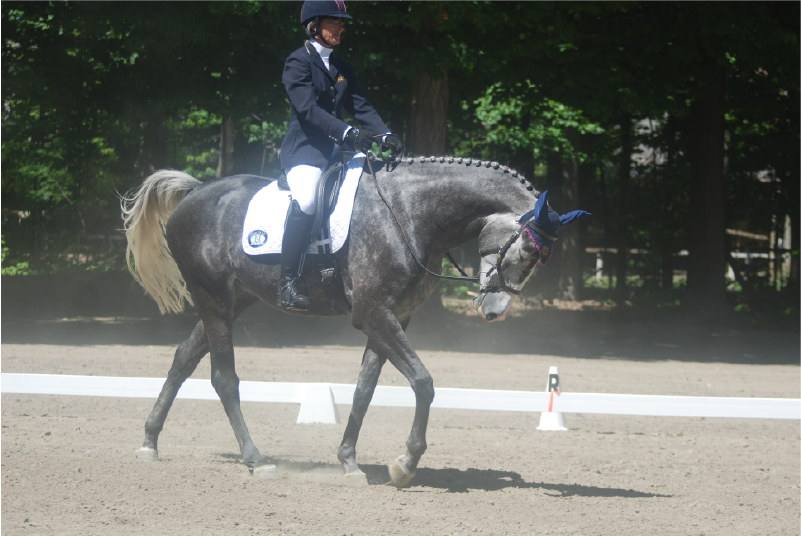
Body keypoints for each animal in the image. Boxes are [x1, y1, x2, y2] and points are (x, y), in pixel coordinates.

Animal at [122, 155, 589, 487]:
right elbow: (423, 382)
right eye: (525, 252)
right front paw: (405, 464)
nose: (493, 312)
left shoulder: (395, 316)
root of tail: (197, 191)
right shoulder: (373, 314)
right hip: (213, 297)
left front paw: (349, 462)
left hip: (232, 301)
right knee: (223, 377)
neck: (412, 214)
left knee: (184, 357)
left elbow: (365, 388)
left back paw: (148, 443)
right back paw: (256, 462)